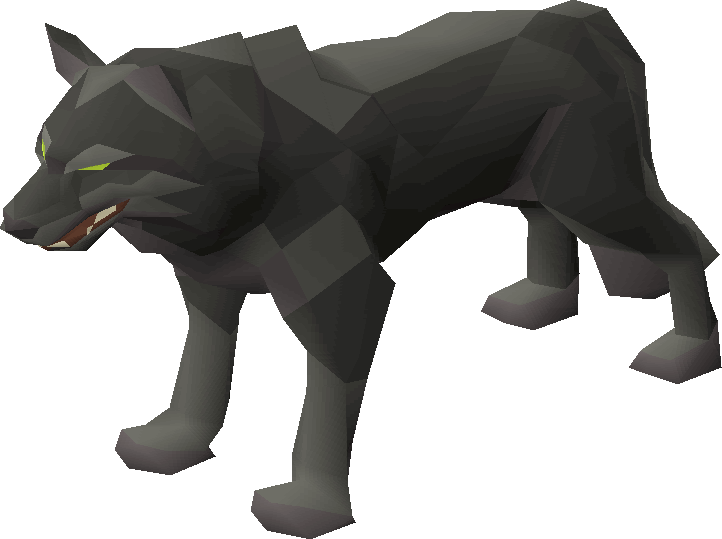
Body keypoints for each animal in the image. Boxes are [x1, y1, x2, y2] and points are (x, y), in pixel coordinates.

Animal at [2, 2, 719, 537]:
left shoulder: (343, 288)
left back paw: (688, 349)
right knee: (545, 224)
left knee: (689, 241)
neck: (237, 182)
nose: (9, 222)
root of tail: (582, 14)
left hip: (595, 192)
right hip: (530, 186)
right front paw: (176, 442)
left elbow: (320, 407)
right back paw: (539, 301)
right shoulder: (210, 285)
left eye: (95, 165)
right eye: (40, 149)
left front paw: (311, 506)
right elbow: (198, 376)